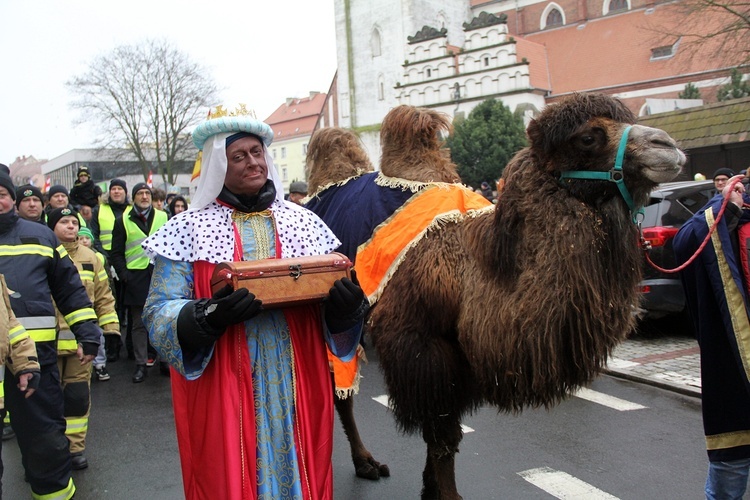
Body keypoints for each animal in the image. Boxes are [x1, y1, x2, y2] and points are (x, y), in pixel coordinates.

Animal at [368, 92, 692, 498]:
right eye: (588, 137)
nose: (667, 146)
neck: (477, 272)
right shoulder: (422, 351)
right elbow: (441, 437)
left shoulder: (456, 365)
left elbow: (446, 439)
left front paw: (432, 489)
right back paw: (365, 464)